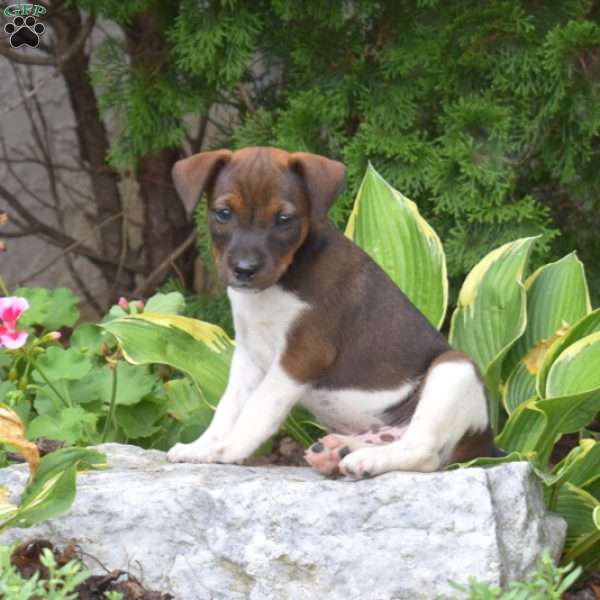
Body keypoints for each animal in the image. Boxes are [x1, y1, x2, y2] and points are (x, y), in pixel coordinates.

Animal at [166, 149, 494, 478]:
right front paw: (201, 446)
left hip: (454, 371)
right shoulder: (248, 354)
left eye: (284, 219)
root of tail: (487, 444)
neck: (281, 281)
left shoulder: (301, 354)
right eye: (223, 213)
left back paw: (367, 460)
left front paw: (227, 449)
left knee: (424, 451)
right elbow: (228, 407)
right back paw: (338, 451)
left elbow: (258, 408)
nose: (245, 270)